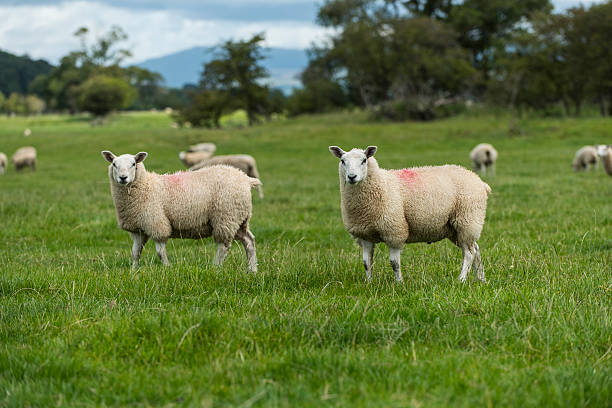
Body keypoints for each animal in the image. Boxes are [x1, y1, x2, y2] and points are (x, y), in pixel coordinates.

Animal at [101, 149, 262, 270]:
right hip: (240, 218)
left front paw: (167, 268)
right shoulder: (138, 229)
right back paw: (252, 269)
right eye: (114, 164)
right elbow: (135, 253)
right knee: (249, 241)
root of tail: (246, 179)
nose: (123, 178)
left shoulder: (157, 224)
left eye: (133, 164)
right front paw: (134, 271)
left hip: (226, 217)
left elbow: (160, 252)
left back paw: (215, 267)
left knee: (224, 246)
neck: (146, 186)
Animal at [328, 146, 490, 284]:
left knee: (468, 254)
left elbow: (394, 263)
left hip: (467, 220)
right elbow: (367, 263)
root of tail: (480, 181)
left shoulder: (394, 231)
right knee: (475, 249)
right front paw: (369, 283)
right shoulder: (365, 234)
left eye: (364, 160)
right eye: (342, 161)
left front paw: (399, 283)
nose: (352, 177)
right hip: (456, 228)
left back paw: (461, 279)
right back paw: (481, 278)